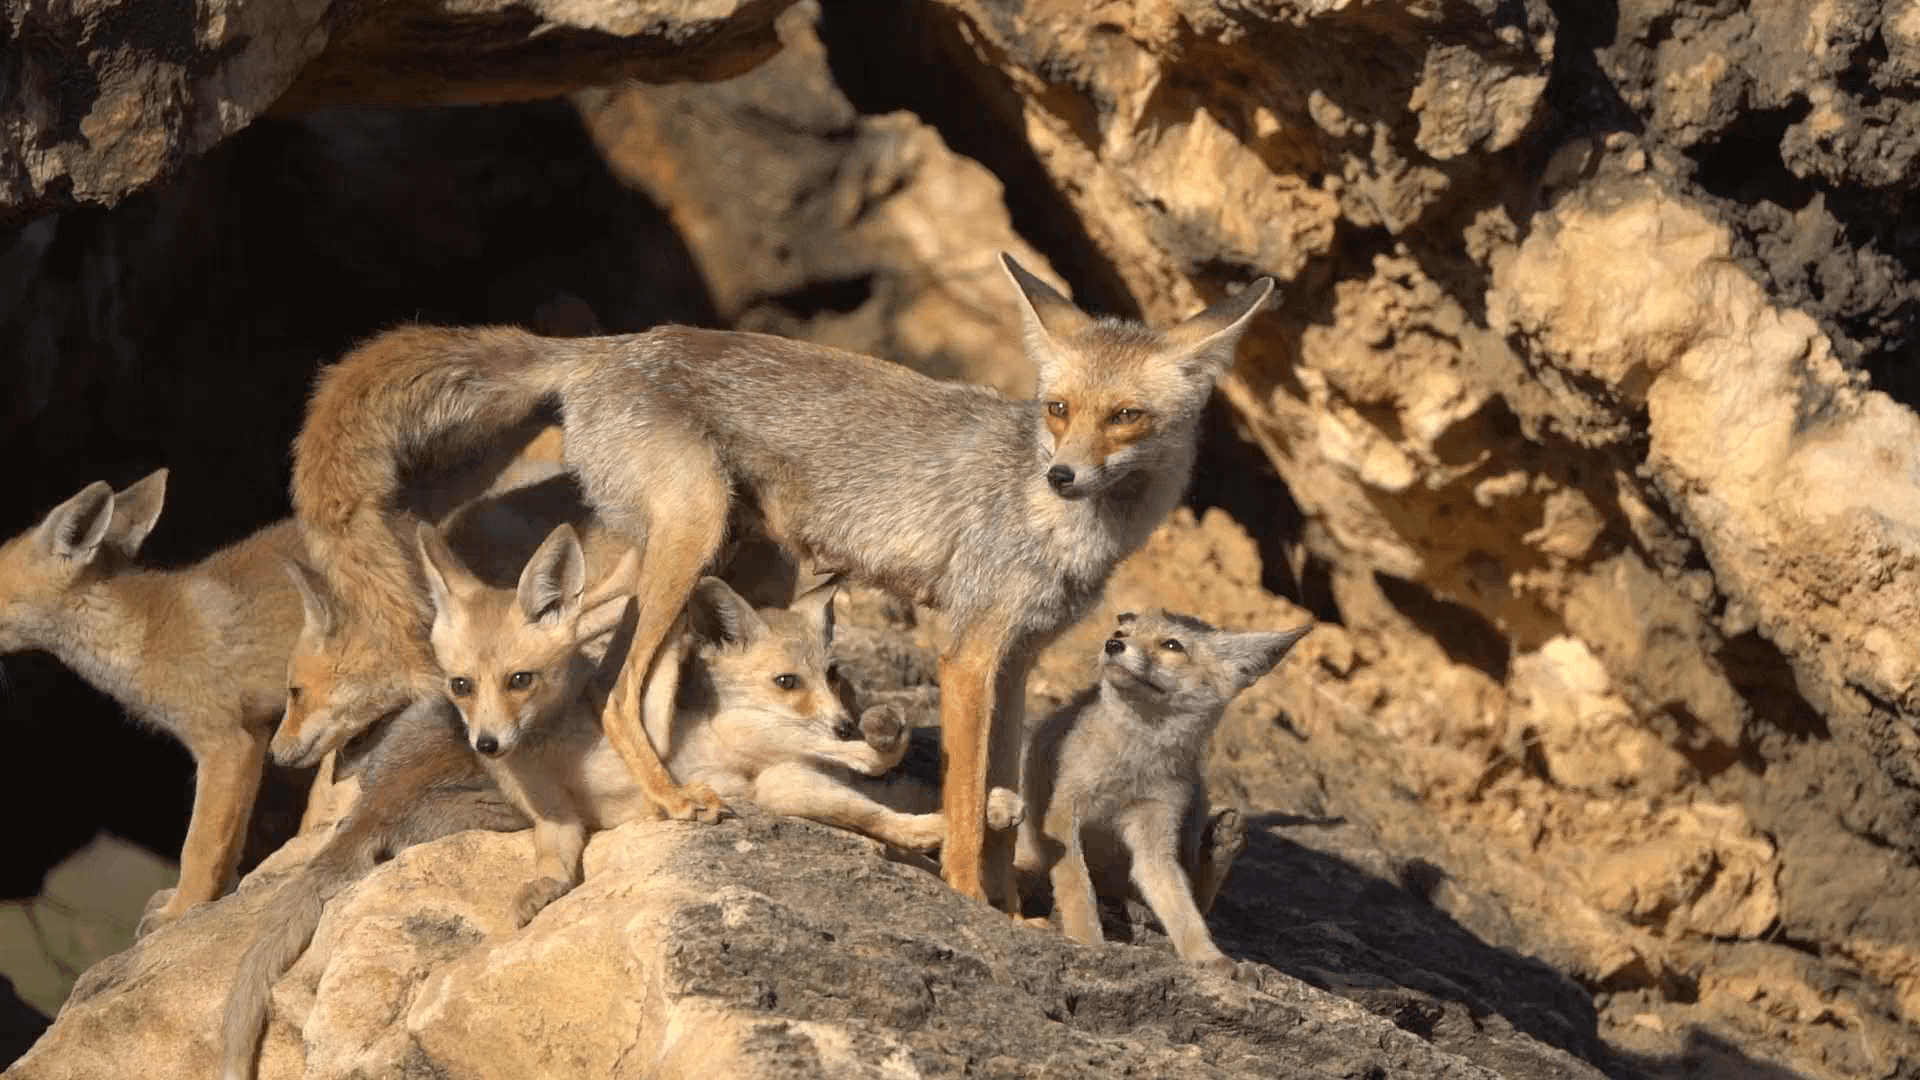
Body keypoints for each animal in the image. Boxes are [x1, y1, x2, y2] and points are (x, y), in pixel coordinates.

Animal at [0, 466, 301, 930]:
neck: (141, 637)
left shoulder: (224, 743)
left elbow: (197, 847)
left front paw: (180, 910)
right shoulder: (253, 737)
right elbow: (229, 845)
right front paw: (206, 901)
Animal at [288, 255, 1274, 903]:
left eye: (1127, 416)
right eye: (1060, 409)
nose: (1063, 474)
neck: (1055, 522)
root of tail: (605, 346)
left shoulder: (1020, 658)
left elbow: (999, 800)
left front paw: (1014, 915)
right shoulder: (966, 651)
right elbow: (963, 807)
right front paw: (966, 900)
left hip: (689, 554)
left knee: (583, 646)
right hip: (697, 533)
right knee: (614, 690)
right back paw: (669, 798)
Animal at [1021, 611, 1305, 972]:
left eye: (1172, 645)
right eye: (1121, 633)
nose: (1112, 645)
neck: (1137, 761)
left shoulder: (1155, 835)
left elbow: (1183, 911)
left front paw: (1208, 957)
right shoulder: (1062, 812)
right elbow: (1077, 888)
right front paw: (1086, 942)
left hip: (1196, 800)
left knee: (1191, 896)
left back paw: (1220, 846)